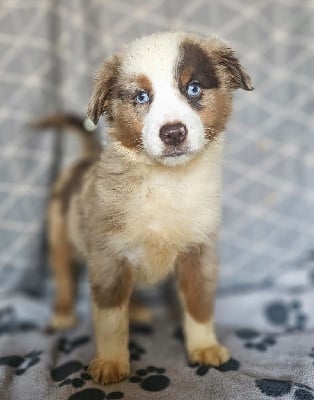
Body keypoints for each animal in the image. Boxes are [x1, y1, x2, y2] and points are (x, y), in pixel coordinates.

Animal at [43, 30, 253, 384]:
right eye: (142, 97)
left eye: (193, 88)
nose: (173, 133)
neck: (167, 183)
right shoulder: (109, 256)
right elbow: (111, 318)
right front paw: (111, 362)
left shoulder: (199, 252)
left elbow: (198, 303)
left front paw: (205, 348)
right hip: (60, 233)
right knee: (62, 274)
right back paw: (62, 313)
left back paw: (139, 309)